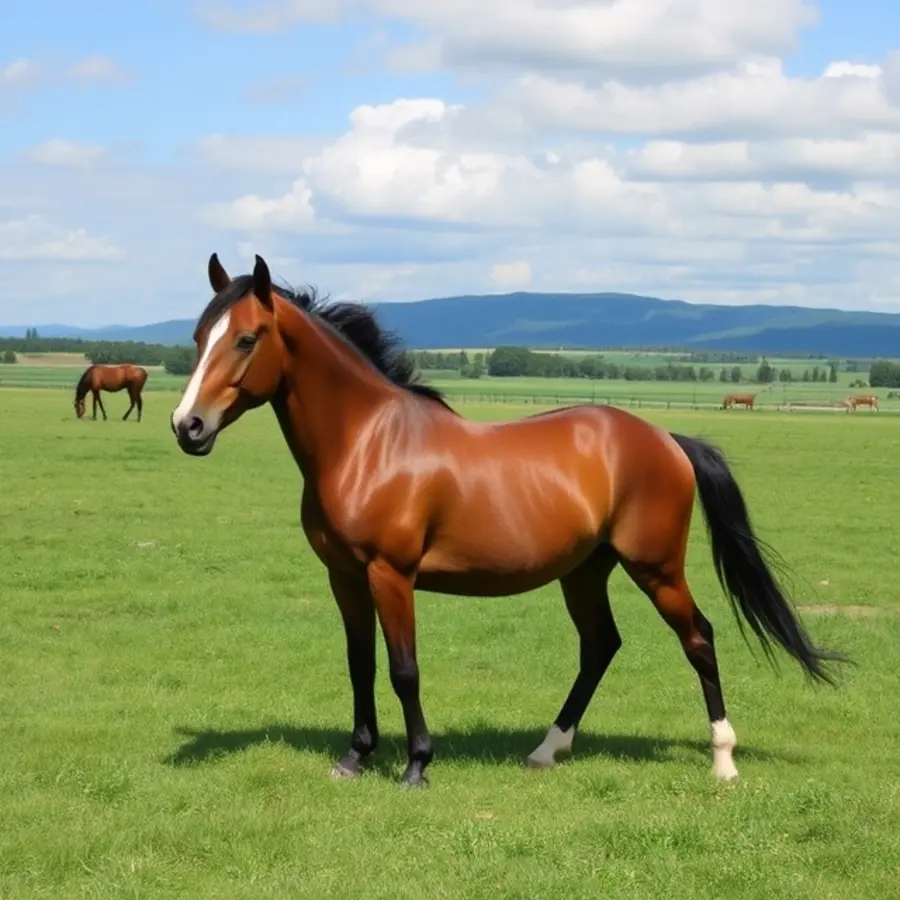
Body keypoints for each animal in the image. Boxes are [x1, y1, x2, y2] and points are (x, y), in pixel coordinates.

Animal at [169, 253, 847, 788]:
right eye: (199, 336)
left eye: (248, 338)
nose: (187, 426)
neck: (368, 443)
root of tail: (667, 439)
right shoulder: (344, 577)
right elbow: (360, 664)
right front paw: (355, 758)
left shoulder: (392, 575)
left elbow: (403, 669)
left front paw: (416, 765)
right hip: (585, 572)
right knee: (601, 646)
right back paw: (548, 750)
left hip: (655, 568)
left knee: (699, 639)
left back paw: (723, 761)